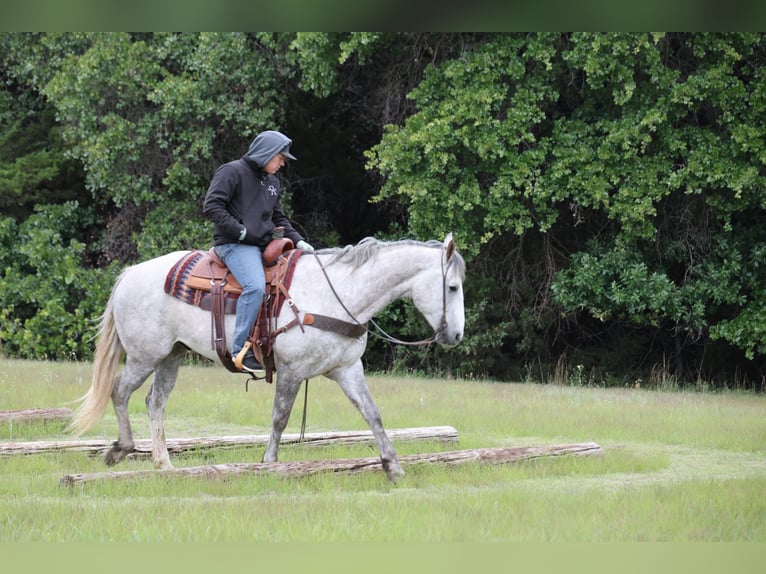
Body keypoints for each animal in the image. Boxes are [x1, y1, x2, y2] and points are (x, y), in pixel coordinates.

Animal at [68, 234, 465, 482]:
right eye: (452, 286)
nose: (457, 336)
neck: (339, 293)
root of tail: (129, 274)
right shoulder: (291, 371)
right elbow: (280, 419)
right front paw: (270, 465)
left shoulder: (347, 369)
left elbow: (373, 414)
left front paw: (393, 466)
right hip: (144, 355)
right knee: (120, 392)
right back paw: (121, 449)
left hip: (171, 356)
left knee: (155, 402)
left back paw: (163, 464)